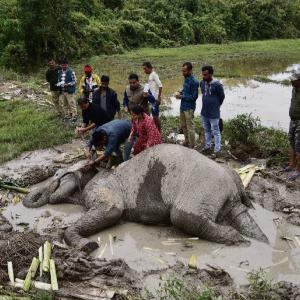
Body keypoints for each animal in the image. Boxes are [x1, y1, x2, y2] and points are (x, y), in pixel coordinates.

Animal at [22, 144, 268, 252]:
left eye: (57, 175)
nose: (31, 195)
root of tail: (232, 191)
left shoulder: (101, 186)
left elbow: (112, 210)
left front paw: (88, 246)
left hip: (202, 188)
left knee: (183, 217)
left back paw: (238, 240)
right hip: (226, 187)